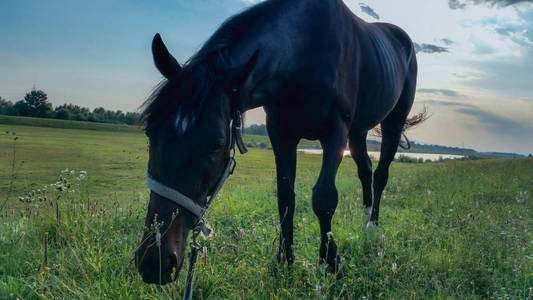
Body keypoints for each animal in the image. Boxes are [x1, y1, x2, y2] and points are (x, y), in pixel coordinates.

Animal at [135, 0, 422, 284]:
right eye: (150, 132)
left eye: (216, 143)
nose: (155, 263)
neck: (305, 52)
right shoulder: (281, 134)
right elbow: (285, 197)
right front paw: (284, 261)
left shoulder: (335, 132)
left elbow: (324, 198)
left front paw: (331, 263)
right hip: (358, 132)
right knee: (365, 171)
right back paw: (364, 223)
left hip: (391, 123)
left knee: (380, 175)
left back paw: (372, 229)